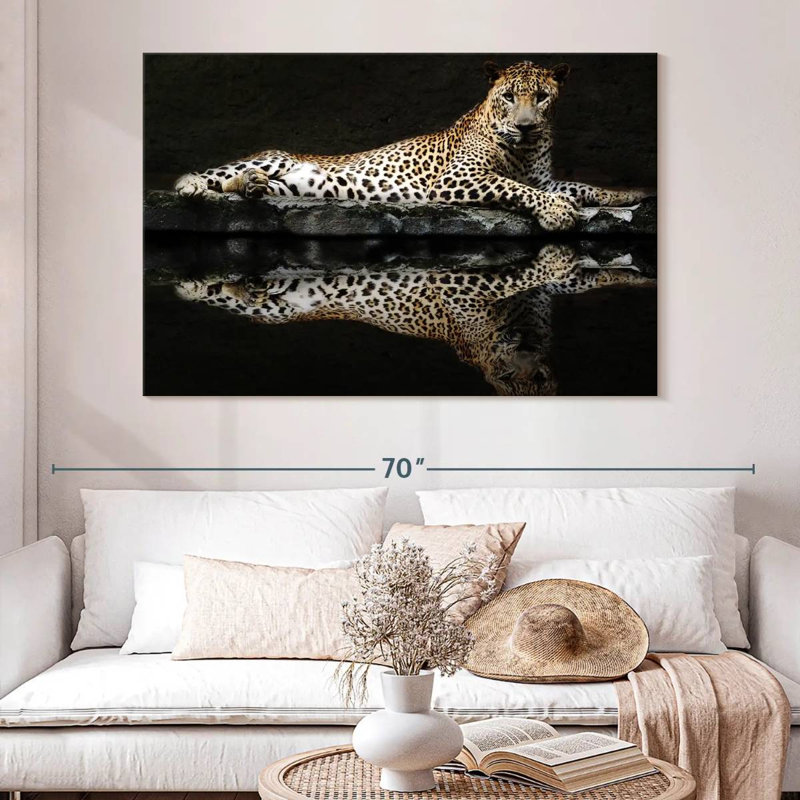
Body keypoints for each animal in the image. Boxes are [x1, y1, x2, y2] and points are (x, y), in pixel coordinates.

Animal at [173, 60, 648, 232]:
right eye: (510, 96)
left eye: (543, 97)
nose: (527, 127)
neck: (525, 150)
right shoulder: (460, 178)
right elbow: (515, 189)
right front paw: (556, 214)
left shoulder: (545, 179)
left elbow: (582, 186)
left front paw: (630, 194)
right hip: (272, 157)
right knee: (214, 176)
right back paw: (195, 185)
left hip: (294, 185)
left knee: (244, 185)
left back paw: (252, 186)